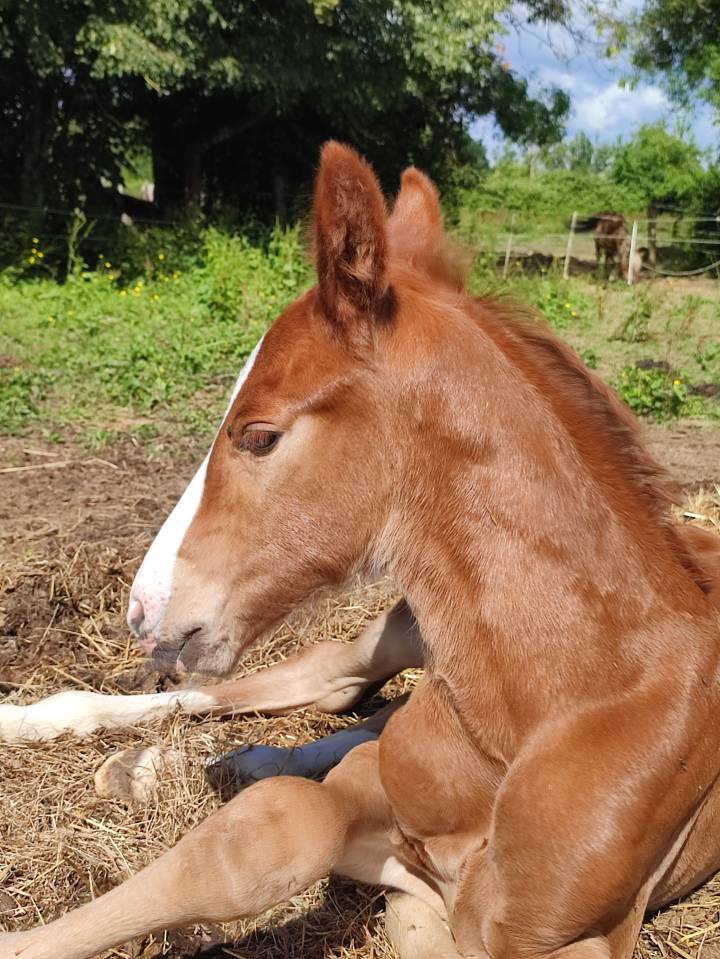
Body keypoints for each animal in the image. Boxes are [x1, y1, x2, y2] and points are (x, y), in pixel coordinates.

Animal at [2, 142, 720, 959]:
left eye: (258, 435)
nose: (141, 610)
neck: (561, 701)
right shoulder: (367, 793)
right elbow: (276, 828)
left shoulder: (558, 935)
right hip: (396, 631)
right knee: (309, 684)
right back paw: (65, 732)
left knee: (334, 708)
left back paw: (186, 763)